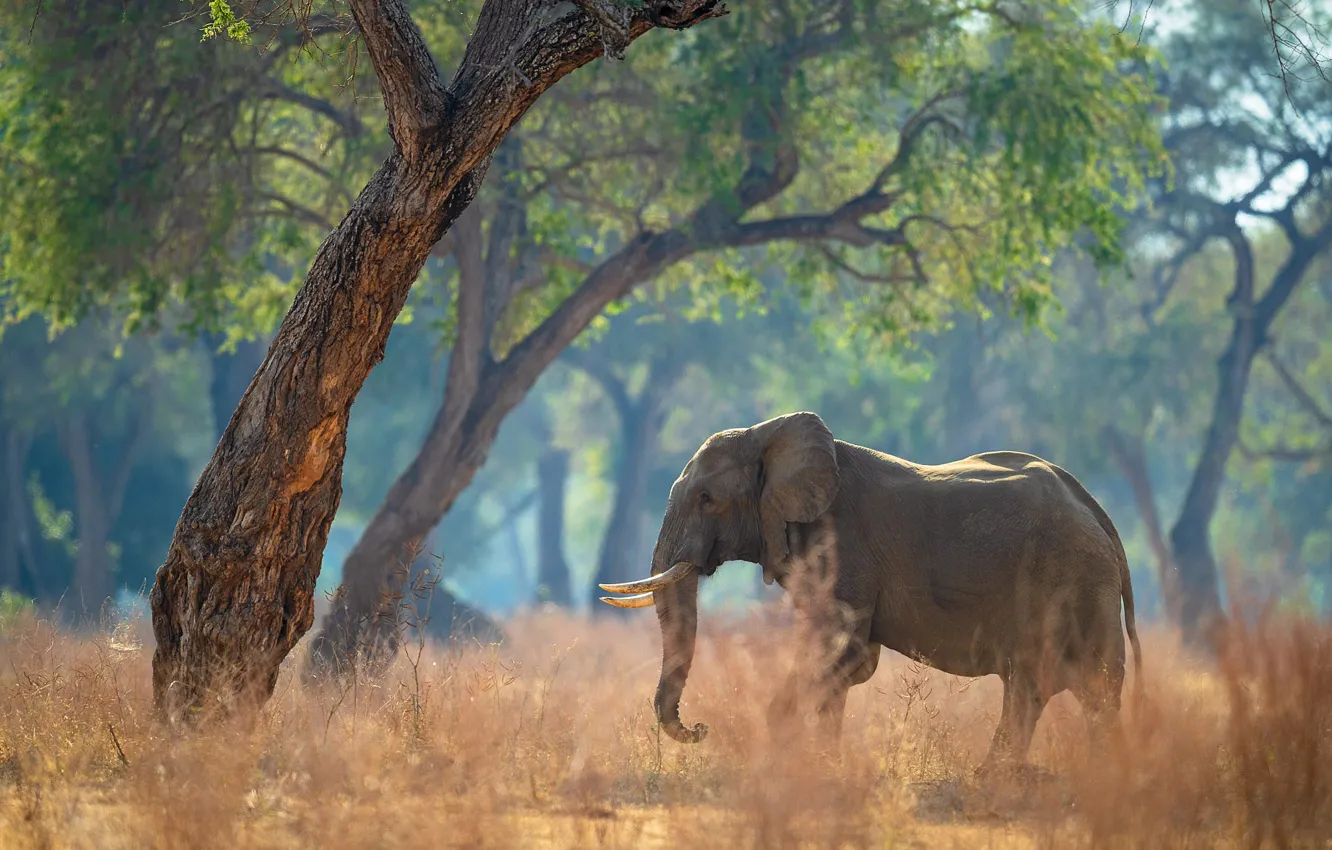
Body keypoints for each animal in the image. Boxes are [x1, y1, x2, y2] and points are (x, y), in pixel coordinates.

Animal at [598, 411, 1142, 772]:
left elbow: (838, 650)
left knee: (1082, 687)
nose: (700, 728)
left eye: (707, 498)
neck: (768, 435)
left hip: (1074, 582)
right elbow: (849, 666)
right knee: (1036, 688)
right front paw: (824, 767)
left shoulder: (842, 547)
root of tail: (1098, 514)